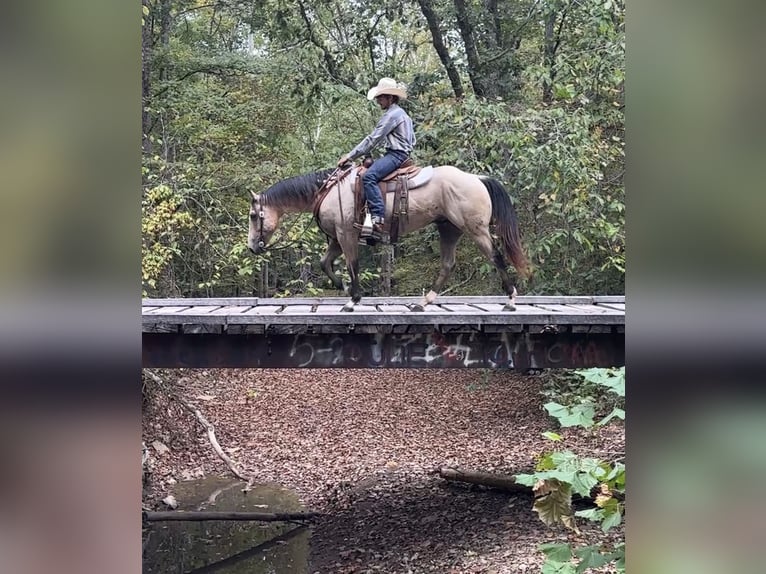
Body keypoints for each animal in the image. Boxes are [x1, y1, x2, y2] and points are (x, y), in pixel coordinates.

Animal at [247, 164, 530, 312]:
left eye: (252, 215)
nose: (251, 247)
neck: (329, 190)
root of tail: (476, 178)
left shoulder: (346, 235)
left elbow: (352, 265)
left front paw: (352, 300)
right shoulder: (336, 239)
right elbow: (325, 263)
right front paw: (344, 287)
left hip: (476, 229)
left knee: (496, 257)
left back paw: (511, 300)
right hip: (449, 230)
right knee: (447, 264)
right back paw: (423, 303)